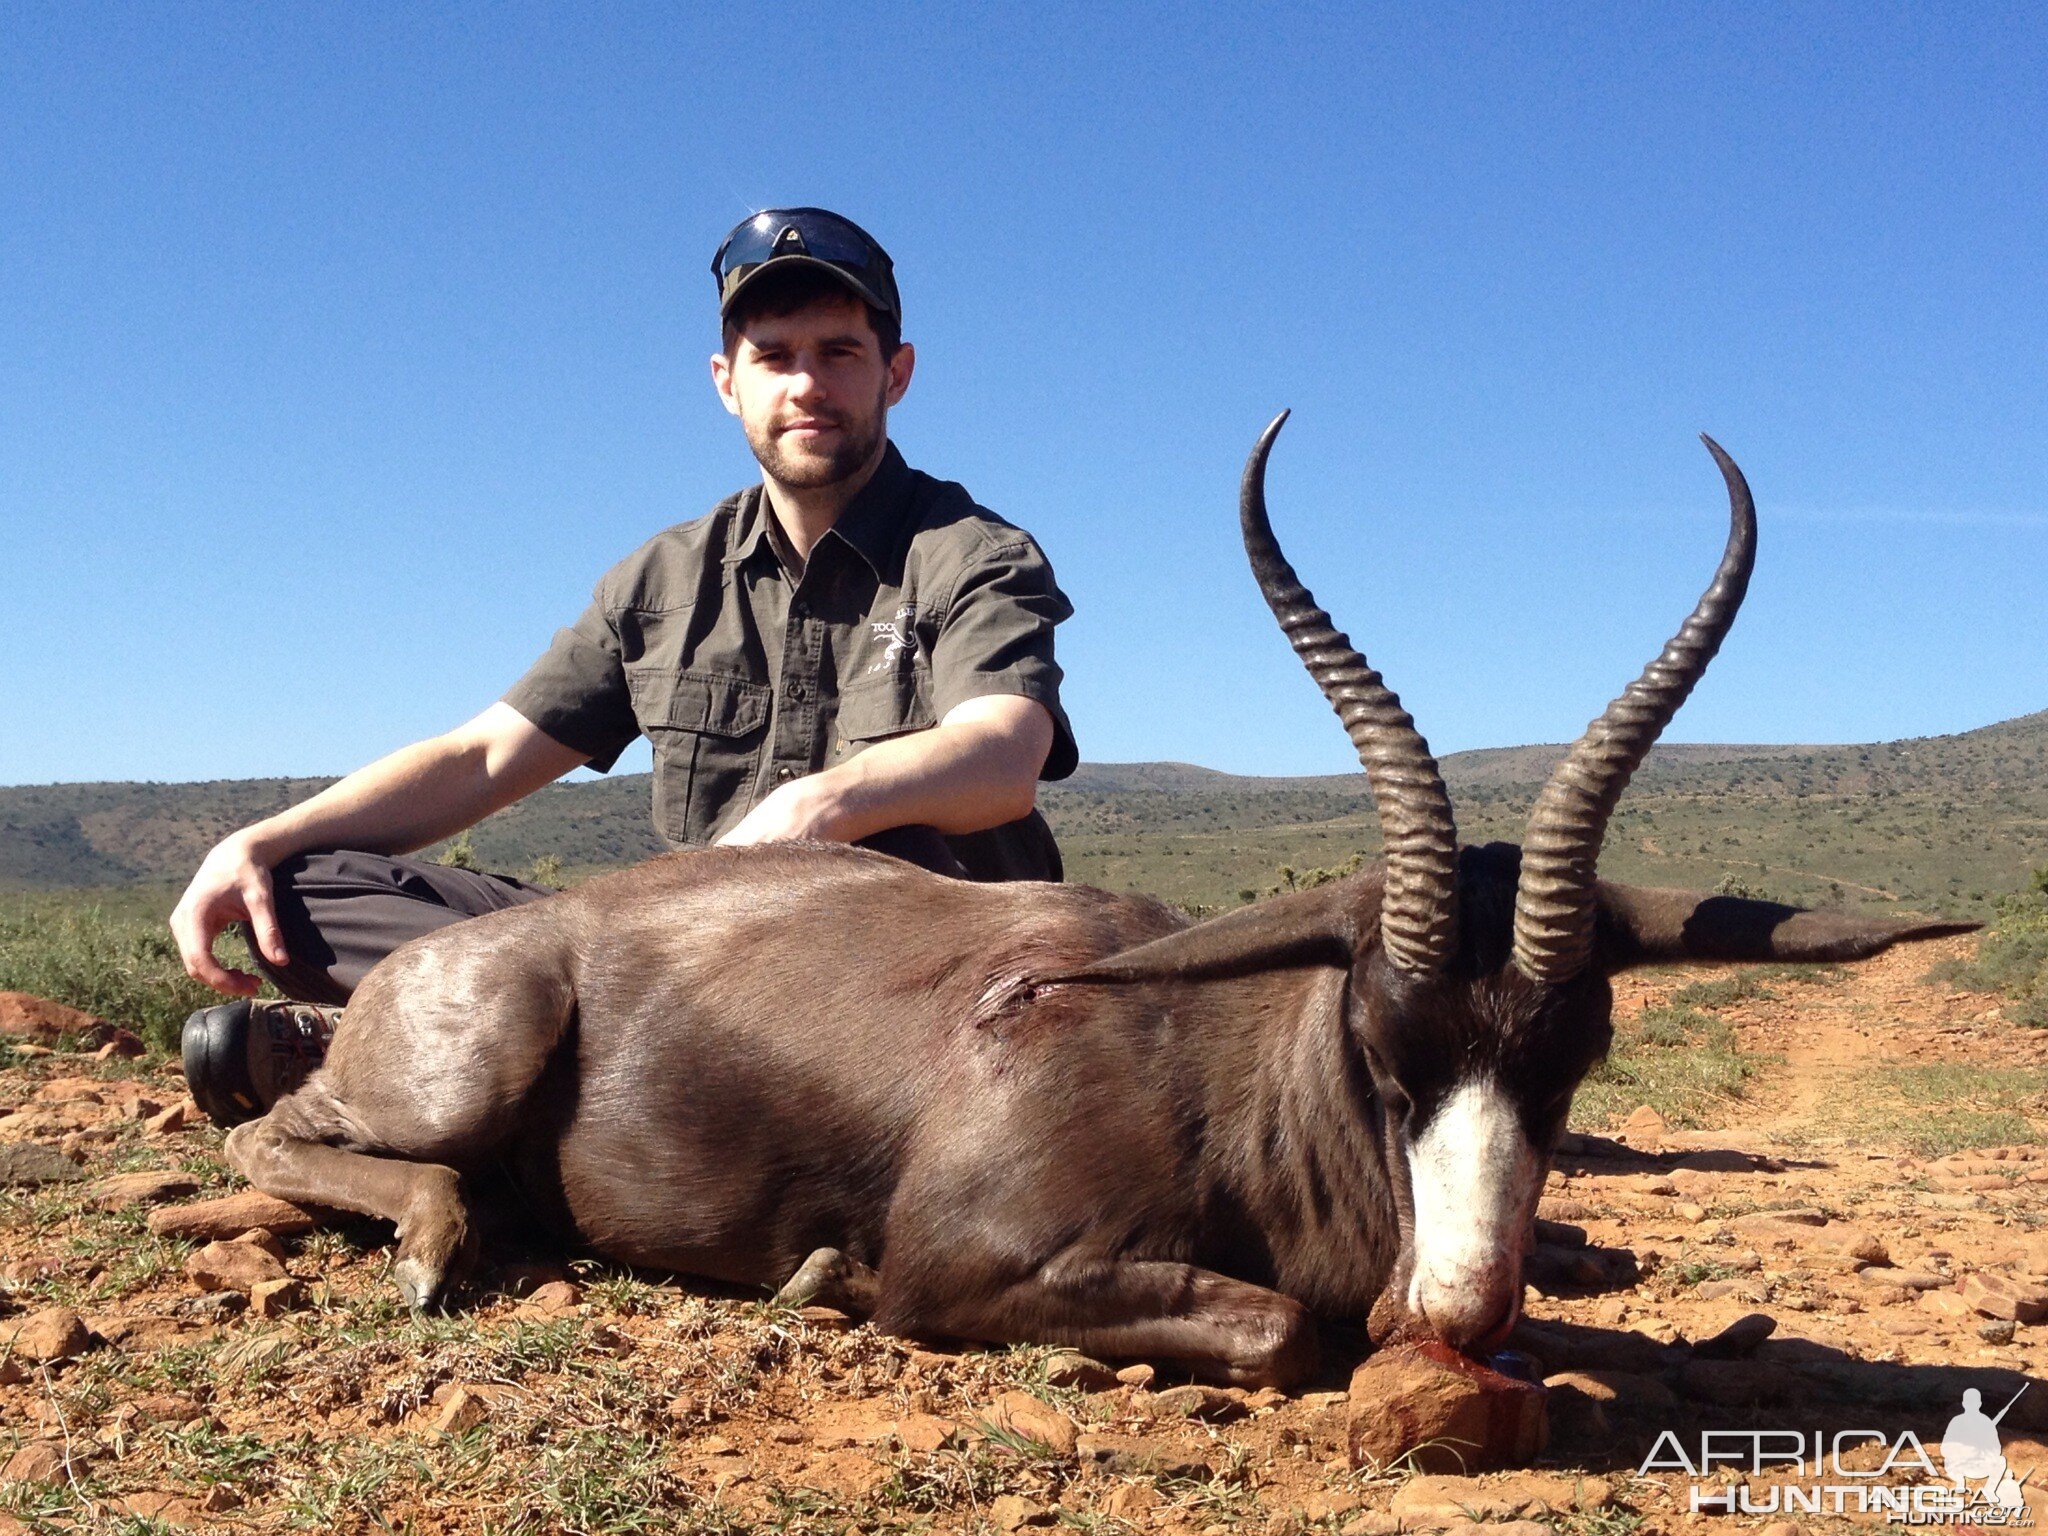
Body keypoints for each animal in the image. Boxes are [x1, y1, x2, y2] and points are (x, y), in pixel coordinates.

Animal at [224, 415, 1966, 1392]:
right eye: (1381, 1047)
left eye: (1579, 1052)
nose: (1457, 1316)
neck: (1229, 1067)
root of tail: (516, 941)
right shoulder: (972, 1265)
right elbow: (1283, 1331)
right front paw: (826, 1279)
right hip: (461, 1073)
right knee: (273, 1138)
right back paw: (435, 1244)